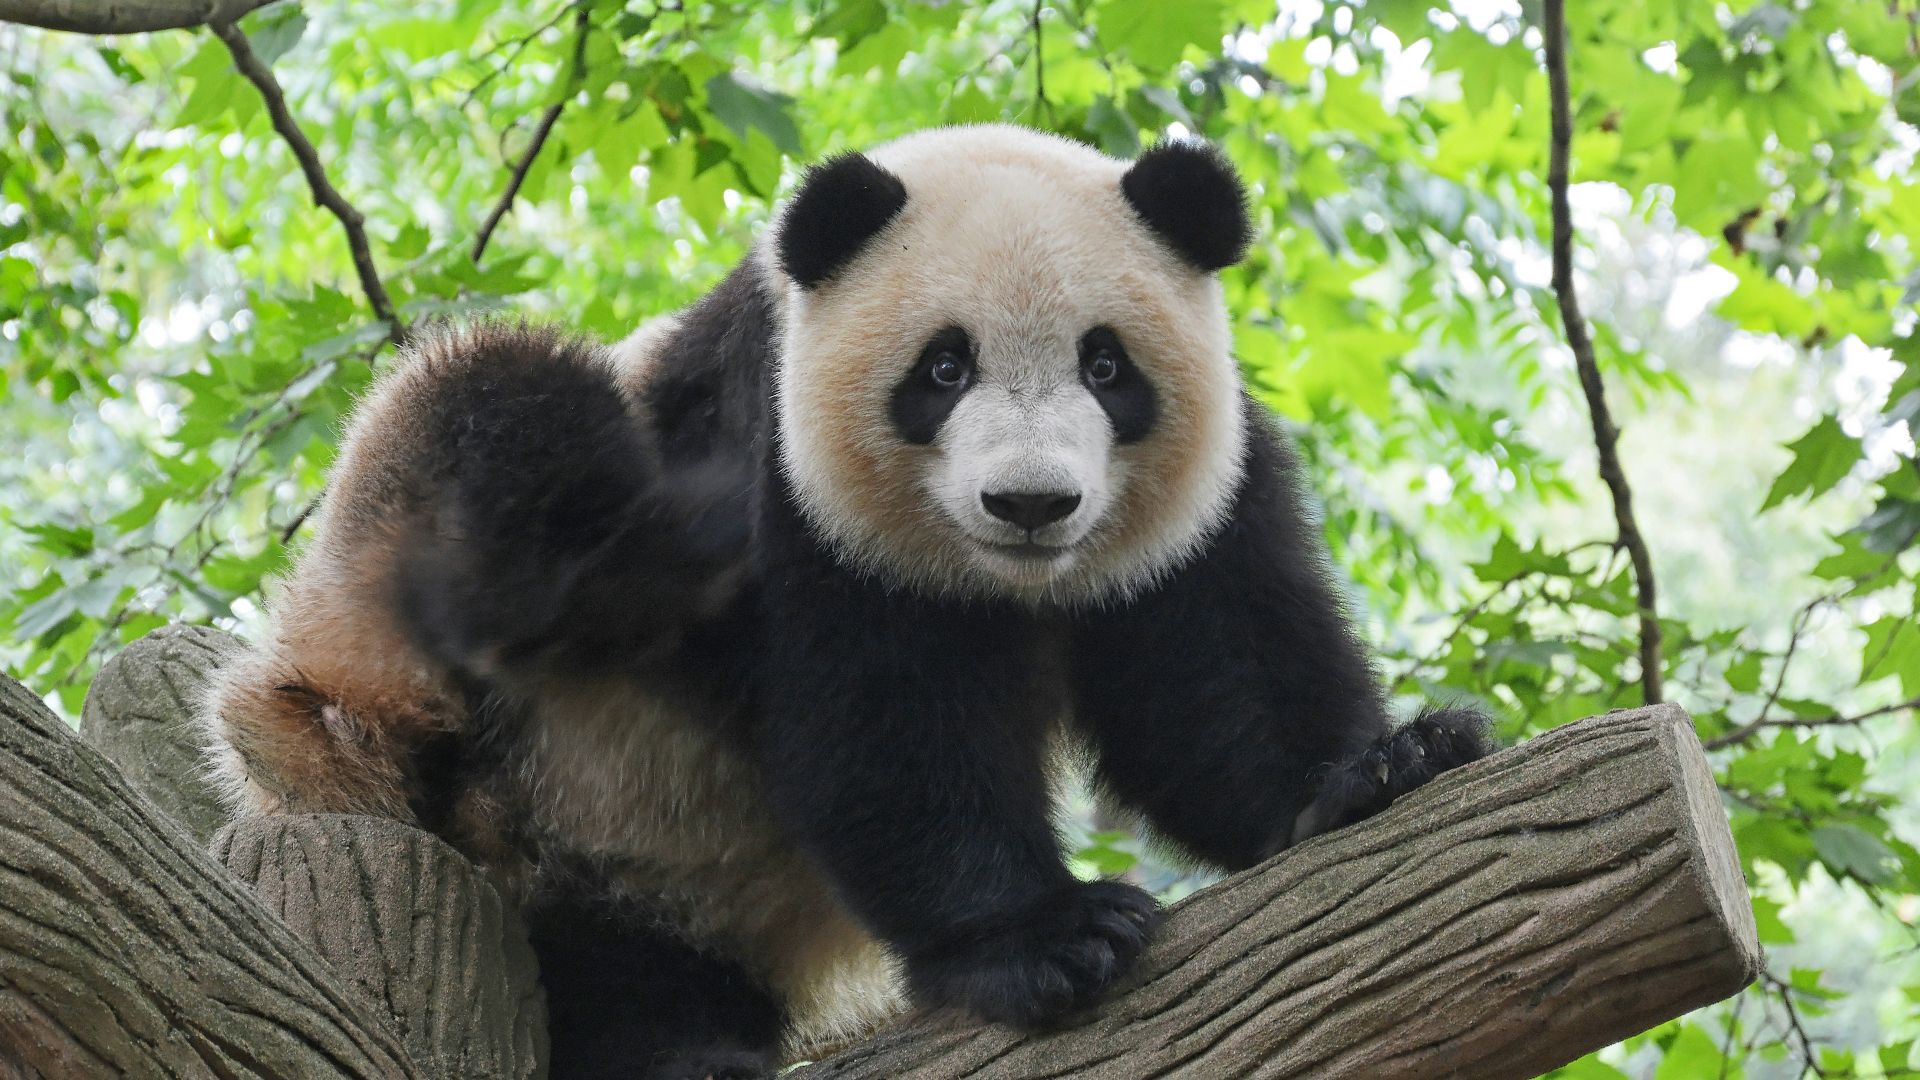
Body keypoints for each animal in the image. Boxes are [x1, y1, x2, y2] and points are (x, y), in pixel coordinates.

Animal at [201, 124, 1492, 1080]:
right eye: (944, 367)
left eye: (1107, 364)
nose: (1031, 503)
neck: (1008, 584)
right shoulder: (789, 479)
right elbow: (884, 723)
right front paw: (1050, 939)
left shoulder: (1196, 501)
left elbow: (1212, 677)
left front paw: (1379, 769)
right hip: (416, 674)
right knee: (496, 406)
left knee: (622, 972)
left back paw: (679, 1038)